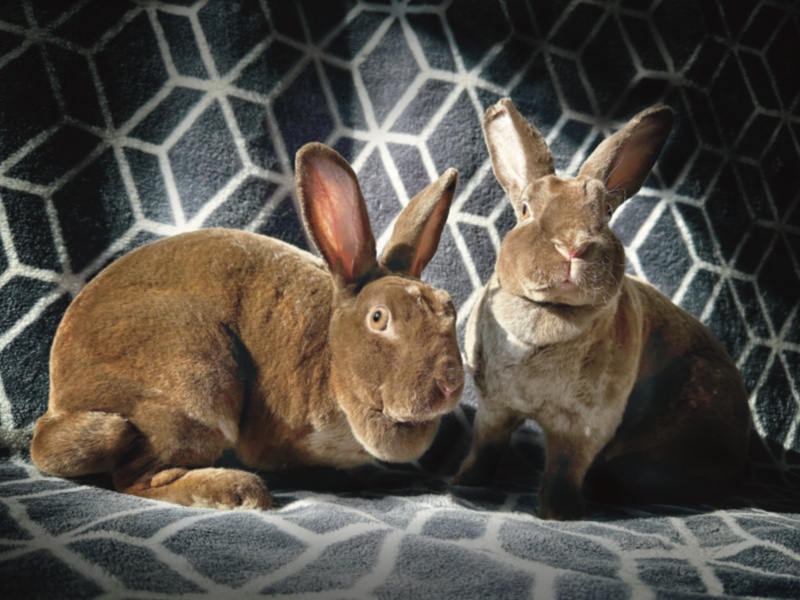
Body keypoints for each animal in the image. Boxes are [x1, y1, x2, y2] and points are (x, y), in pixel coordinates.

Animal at [31, 143, 466, 508]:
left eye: (450, 306)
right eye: (378, 318)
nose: (449, 384)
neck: (330, 355)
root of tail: (58, 404)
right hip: (193, 380)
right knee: (138, 479)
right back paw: (237, 491)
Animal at [456, 98, 752, 520]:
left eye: (606, 213)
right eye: (526, 209)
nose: (573, 246)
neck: (552, 312)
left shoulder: (584, 425)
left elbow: (564, 467)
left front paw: (559, 513)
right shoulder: (495, 406)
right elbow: (485, 446)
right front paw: (464, 482)